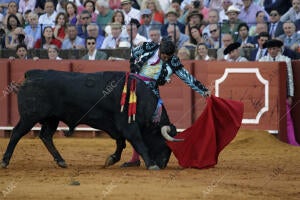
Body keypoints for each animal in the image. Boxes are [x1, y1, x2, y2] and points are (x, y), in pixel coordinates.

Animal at [1, 69, 179, 170]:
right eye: (165, 143)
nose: (163, 164)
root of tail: (32, 74)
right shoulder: (128, 126)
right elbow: (139, 143)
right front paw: (151, 164)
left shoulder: (118, 127)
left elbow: (121, 144)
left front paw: (111, 160)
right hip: (30, 117)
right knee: (16, 133)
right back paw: (5, 161)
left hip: (52, 119)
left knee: (45, 136)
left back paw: (61, 161)